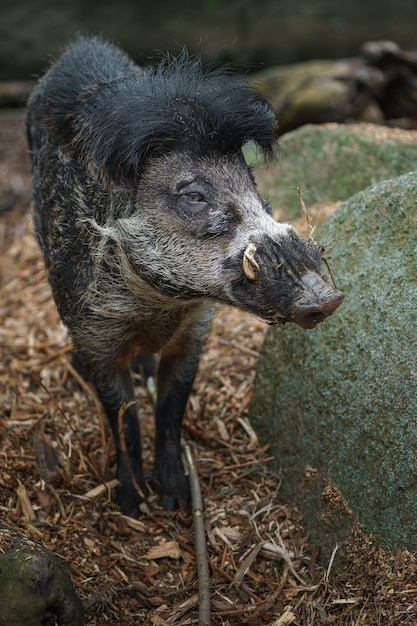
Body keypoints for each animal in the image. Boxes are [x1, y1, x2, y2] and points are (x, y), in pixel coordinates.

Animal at [26, 39, 344, 516]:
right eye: (194, 196)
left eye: (252, 184)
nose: (328, 298)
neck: (161, 306)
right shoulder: (96, 334)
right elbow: (124, 419)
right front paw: (132, 506)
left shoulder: (195, 331)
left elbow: (170, 411)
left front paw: (175, 499)